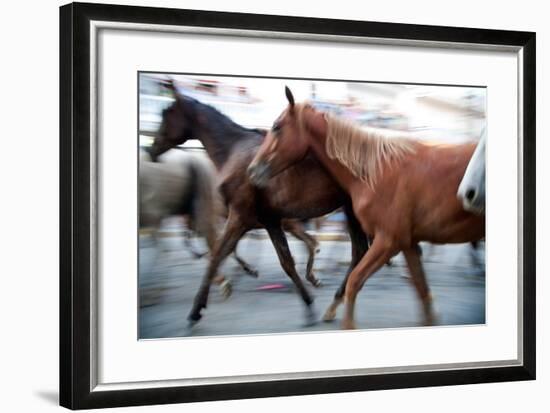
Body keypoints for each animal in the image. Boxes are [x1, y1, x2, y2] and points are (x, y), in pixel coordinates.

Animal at [150, 83, 370, 328]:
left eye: (166, 114)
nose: (152, 149)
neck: (233, 150)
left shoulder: (240, 217)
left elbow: (220, 254)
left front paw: (197, 309)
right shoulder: (266, 219)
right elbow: (278, 260)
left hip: (352, 211)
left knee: (359, 251)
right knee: (356, 251)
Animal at [250, 87, 488, 328]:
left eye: (277, 127)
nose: (252, 170)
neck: (376, 173)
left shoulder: (388, 241)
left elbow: (355, 281)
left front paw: (346, 322)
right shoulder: (408, 243)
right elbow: (421, 290)